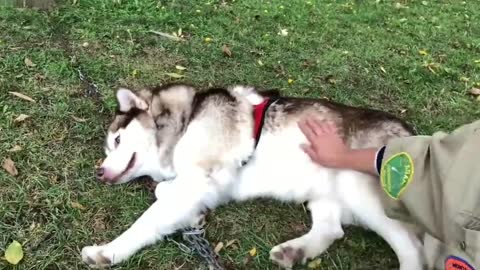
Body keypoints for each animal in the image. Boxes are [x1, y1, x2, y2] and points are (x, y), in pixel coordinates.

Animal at [82, 83, 424, 268]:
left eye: (116, 141)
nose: (99, 171)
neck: (186, 121)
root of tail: (411, 133)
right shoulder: (207, 184)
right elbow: (166, 194)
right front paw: (191, 213)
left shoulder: (201, 176)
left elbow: (148, 220)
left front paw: (107, 251)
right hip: (324, 191)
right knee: (332, 230)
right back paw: (294, 251)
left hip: (360, 186)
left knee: (413, 251)